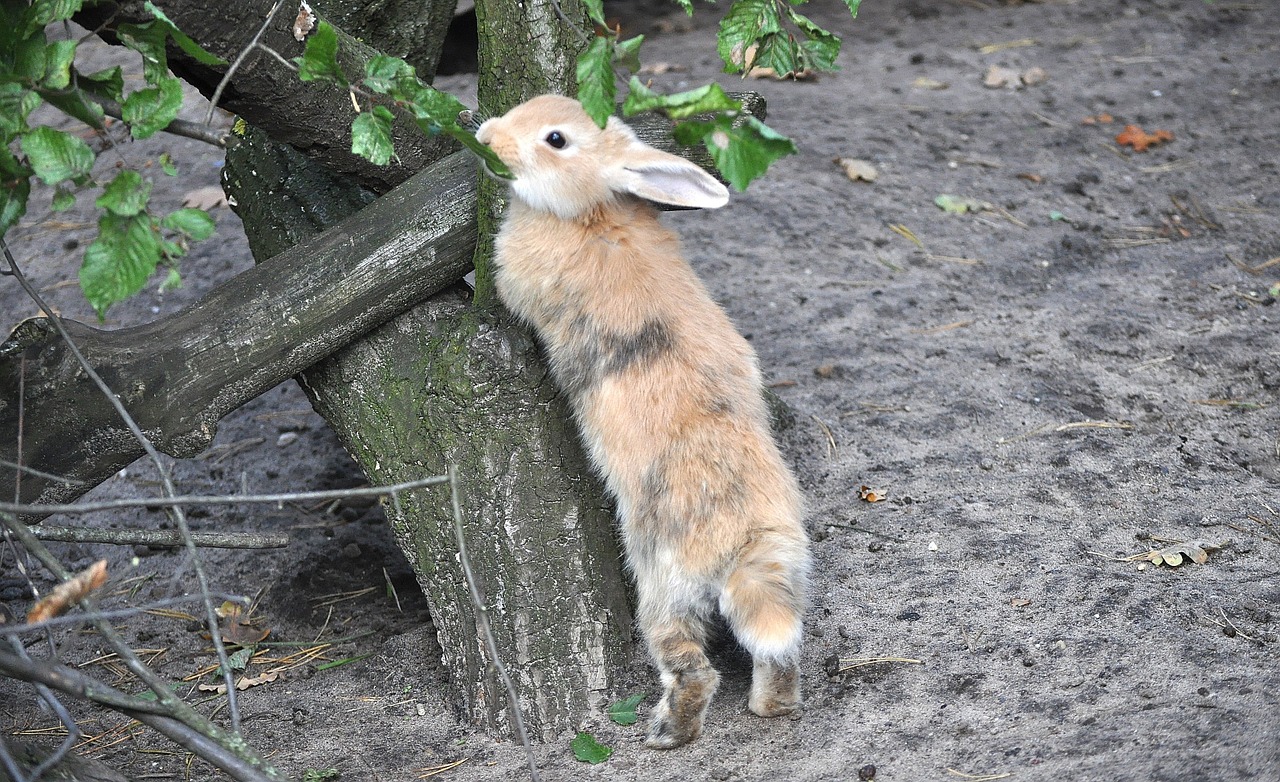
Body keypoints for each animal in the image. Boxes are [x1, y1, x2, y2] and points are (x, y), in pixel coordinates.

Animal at [476, 94, 814, 747]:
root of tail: (745, 536)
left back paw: (667, 733)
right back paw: (770, 707)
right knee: (778, 649)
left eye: (556, 138)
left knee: (693, 669)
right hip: (783, 572)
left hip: (663, 585)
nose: (487, 136)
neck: (592, 210)